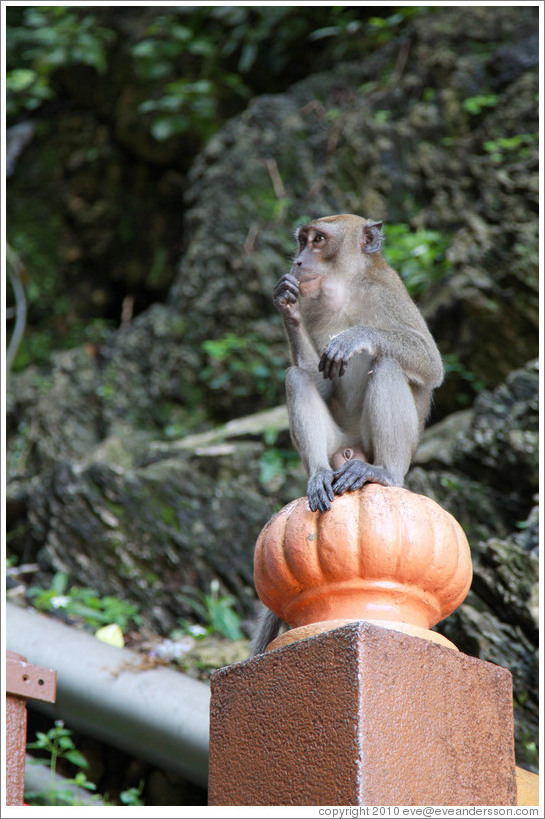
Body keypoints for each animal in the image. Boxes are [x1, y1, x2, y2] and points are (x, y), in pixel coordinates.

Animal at [250, 215, 442, 656]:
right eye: (302, 241)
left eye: (319, 240)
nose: (299, 261)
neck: (346, 288)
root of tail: (352, 455)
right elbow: (314, 375)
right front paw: (287, 307)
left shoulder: (389, 291)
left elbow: (429, 362)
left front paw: (356, 337)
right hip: (338, 445)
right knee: (297, 377)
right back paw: (319, 474)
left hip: (385, 452)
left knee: (388, 363)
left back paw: (384, 473)